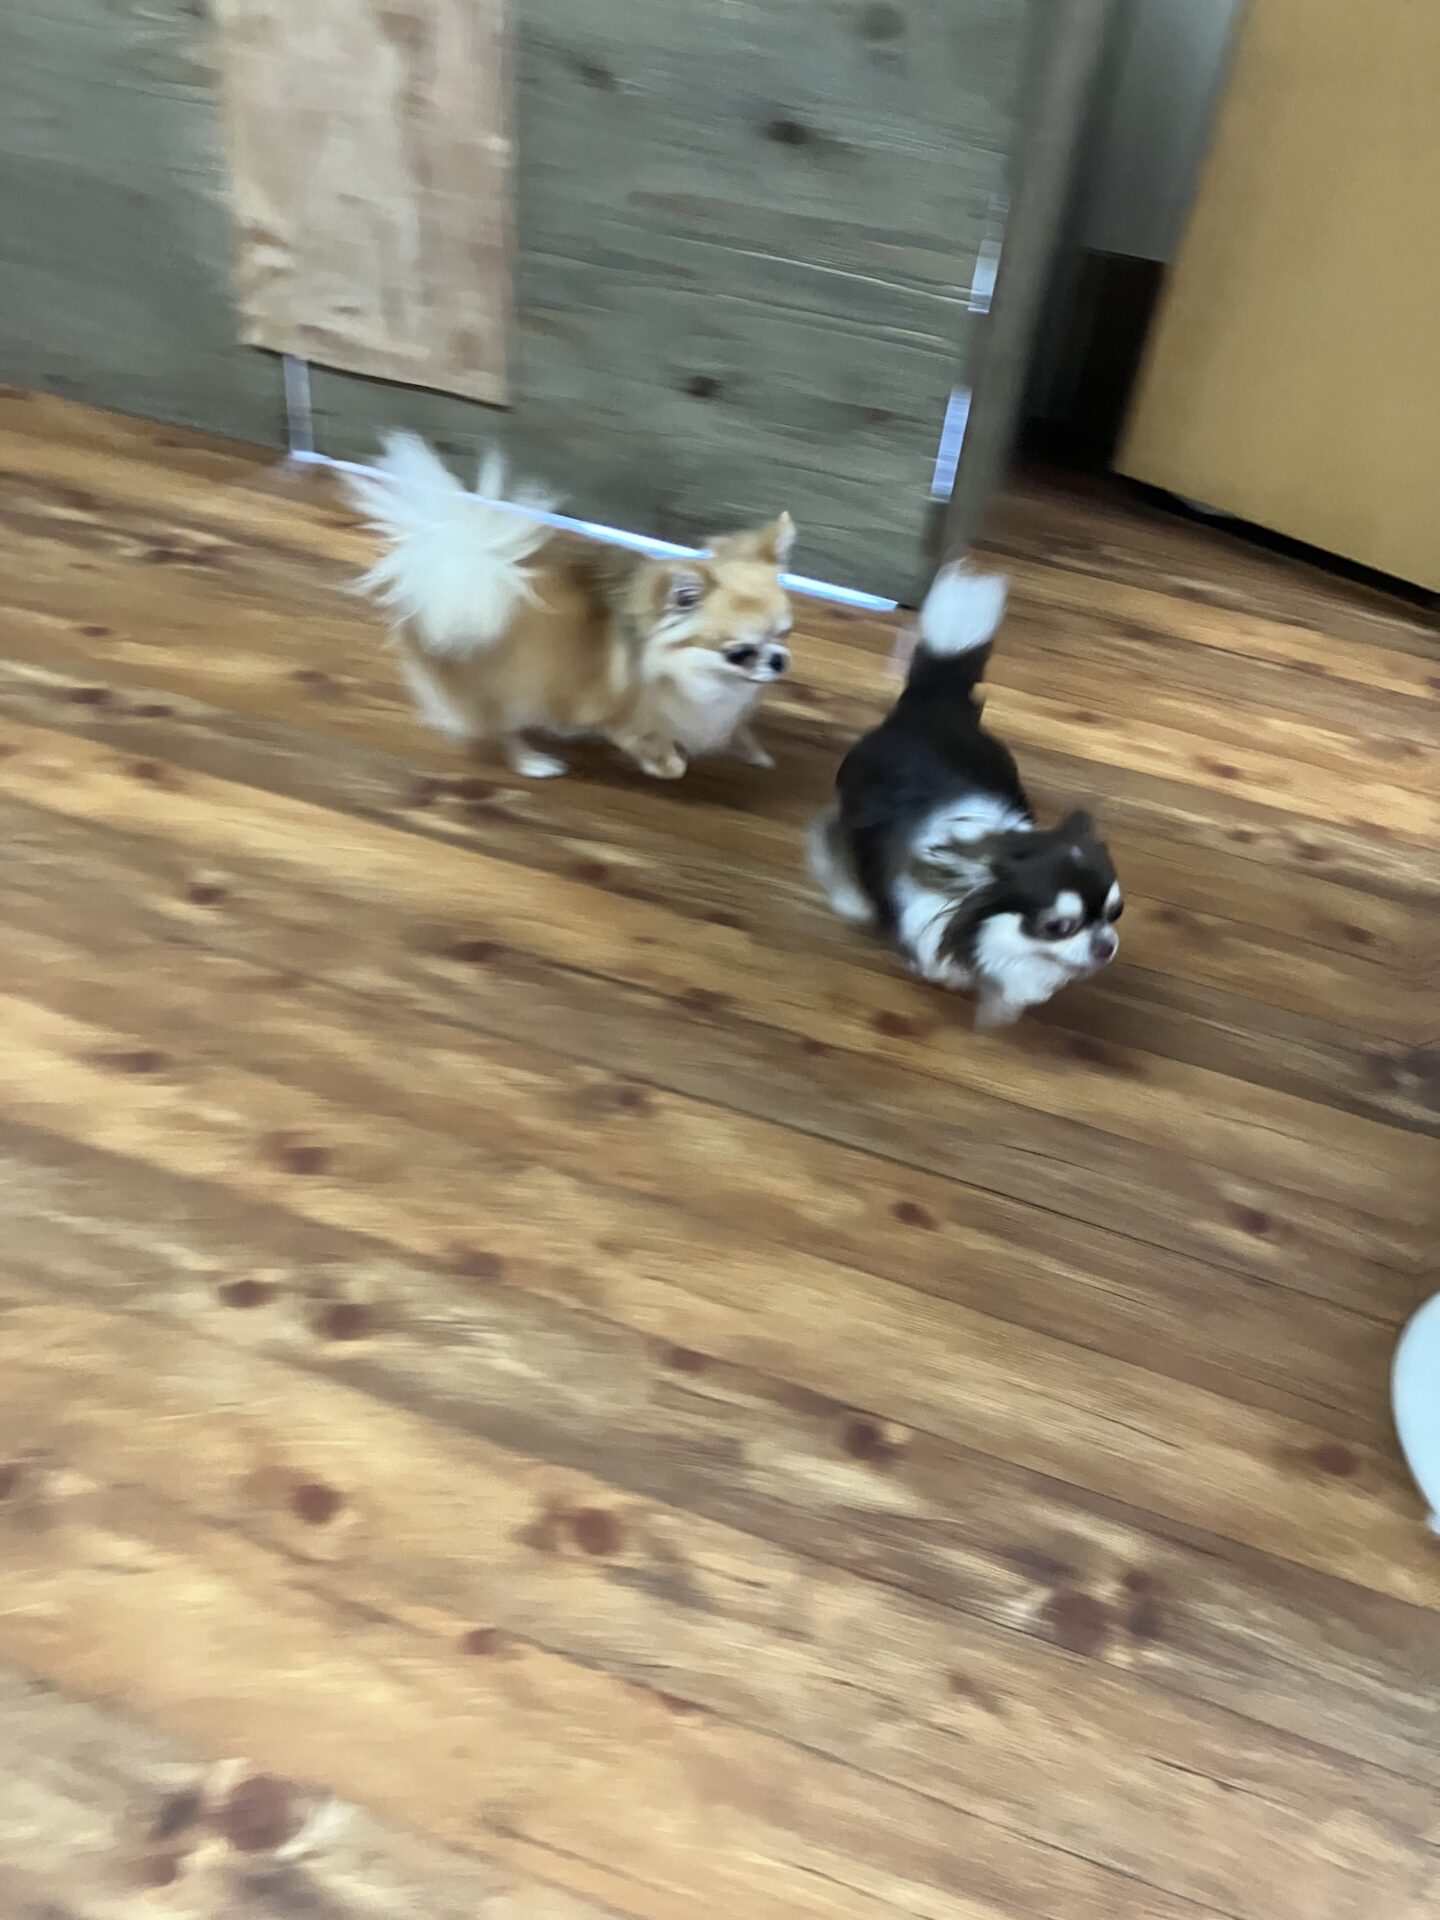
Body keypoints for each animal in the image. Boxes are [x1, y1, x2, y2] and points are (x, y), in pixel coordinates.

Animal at [344, 435, 794, 780]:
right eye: (740, 652)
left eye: (784, 633)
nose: (778, 660)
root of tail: (448, 562)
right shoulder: (625, 716)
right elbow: (653, 744)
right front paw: (665, 764)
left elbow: (737, 727)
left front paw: (754, 751)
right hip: (506, 692)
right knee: (501, 731)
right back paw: (534, 762)